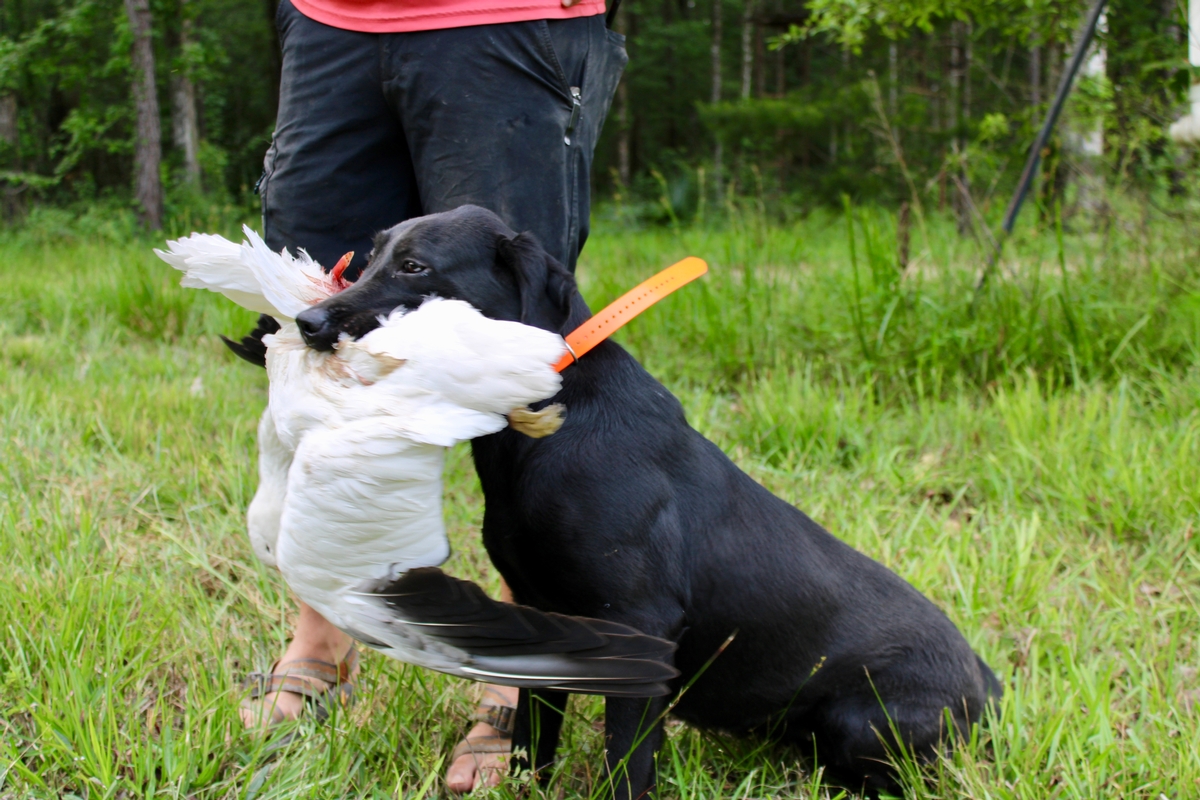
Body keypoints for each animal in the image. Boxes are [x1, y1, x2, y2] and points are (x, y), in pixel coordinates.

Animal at [276, 205, 1002, 797]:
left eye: (415, 265)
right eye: (369, 256)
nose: (305, 323)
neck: (549, 423)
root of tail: (986, 682)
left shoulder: (641, 624)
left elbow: (626, 764)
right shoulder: (539, 617)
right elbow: (533, 745)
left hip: (862, 720)